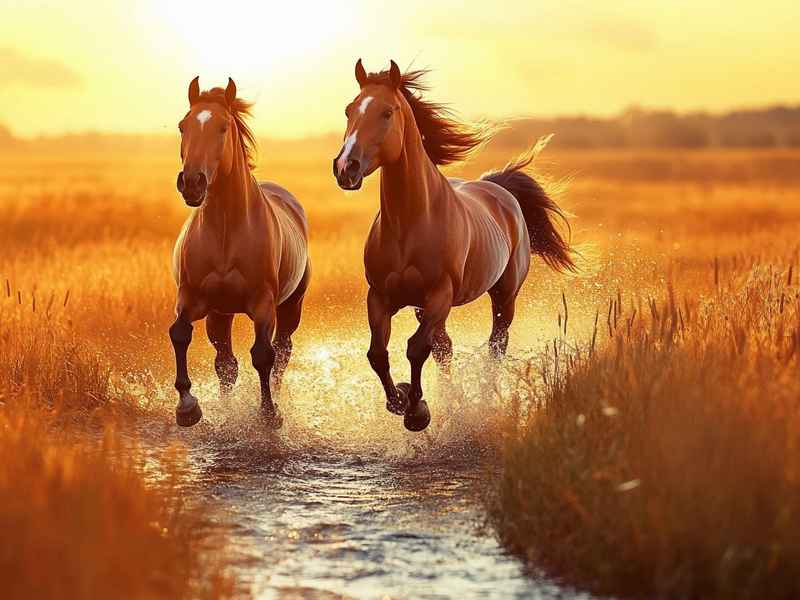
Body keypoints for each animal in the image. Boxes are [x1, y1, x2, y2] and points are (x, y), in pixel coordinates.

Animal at [170, 77, 310, 428]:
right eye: (182, 125)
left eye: (222, 127)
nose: (192, 183)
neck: (225, 230)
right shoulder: (191, 298)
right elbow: (179, 334)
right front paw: (187, 408)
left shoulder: (263, 304)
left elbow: (263, 355)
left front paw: (270, 414)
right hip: (220, 314)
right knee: (226, 363)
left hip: (291, 306)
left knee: (281, 352)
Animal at [333, 60, 575, 432]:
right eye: (349, 110)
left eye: (386, 112)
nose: (346, 168)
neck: (409, 223)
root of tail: (499, 189)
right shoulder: (380, 297)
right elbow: (378, 353)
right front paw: (400, 398)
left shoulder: (439, 294)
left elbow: (416, 348)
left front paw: (416, 412)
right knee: (444, 348)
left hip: (504, 296)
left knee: (495, 345)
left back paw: (485, 399)